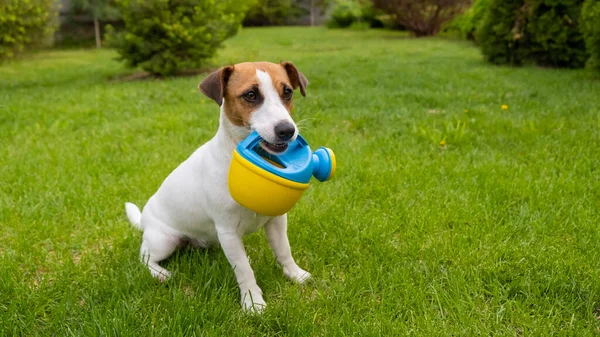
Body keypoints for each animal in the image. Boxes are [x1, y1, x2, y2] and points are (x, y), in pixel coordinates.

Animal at [127, 61, 314, 312]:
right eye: (251, 95)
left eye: (287, 92)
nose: (287, 130)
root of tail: (144, 220)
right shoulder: (228, 230)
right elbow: (244, 270)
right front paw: (253, 302)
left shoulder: (275, 220)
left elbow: (283, 250)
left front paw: (295, 275)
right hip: (164, 240)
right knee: (144, 256)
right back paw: (160, 273)